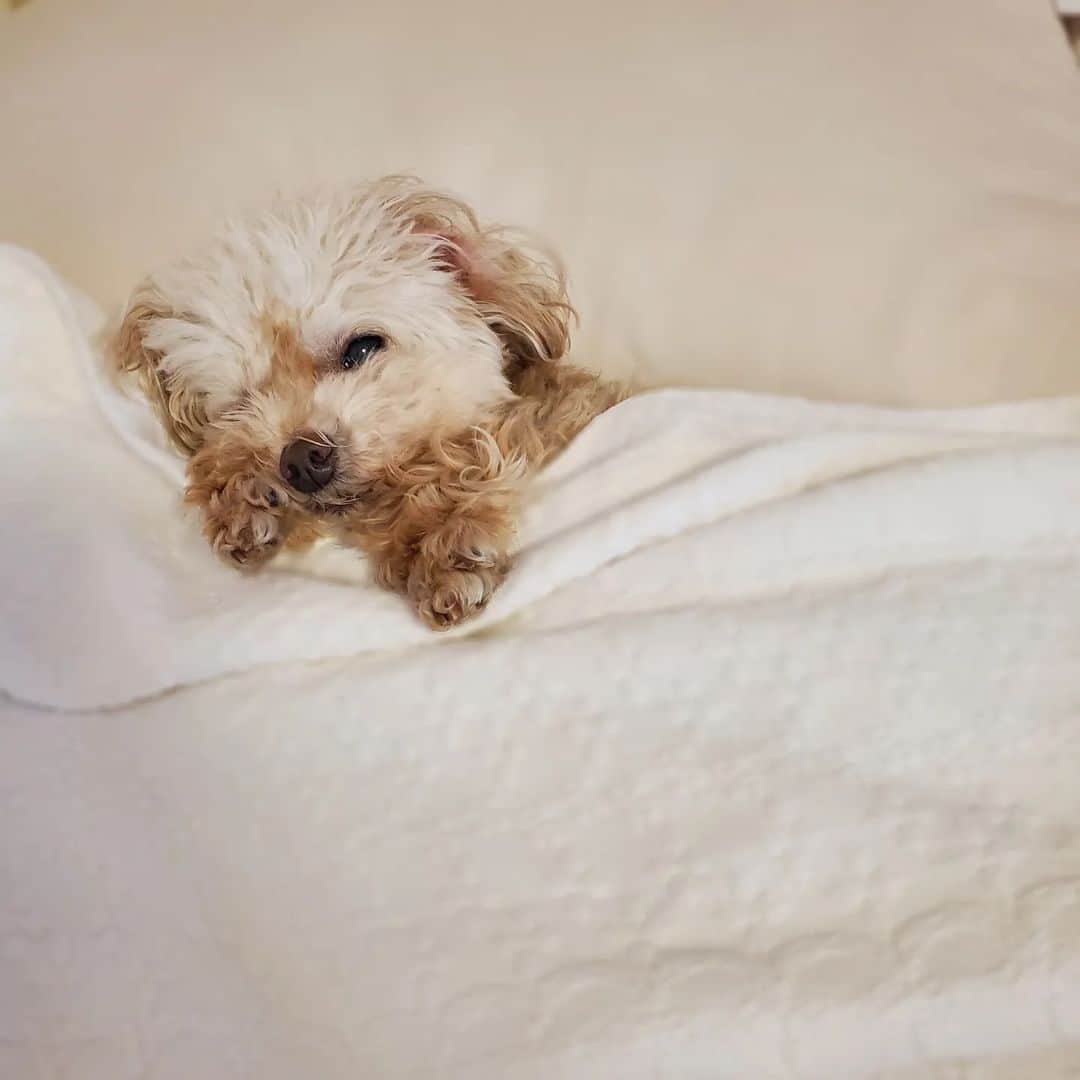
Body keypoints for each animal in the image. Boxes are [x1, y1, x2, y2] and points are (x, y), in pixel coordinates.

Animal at [113, 173, 626, 630]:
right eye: (243, 400)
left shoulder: (542, 417)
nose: (300, 462)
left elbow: (469, 451)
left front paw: (441, 545)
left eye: (361, 348)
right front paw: (243, 496)